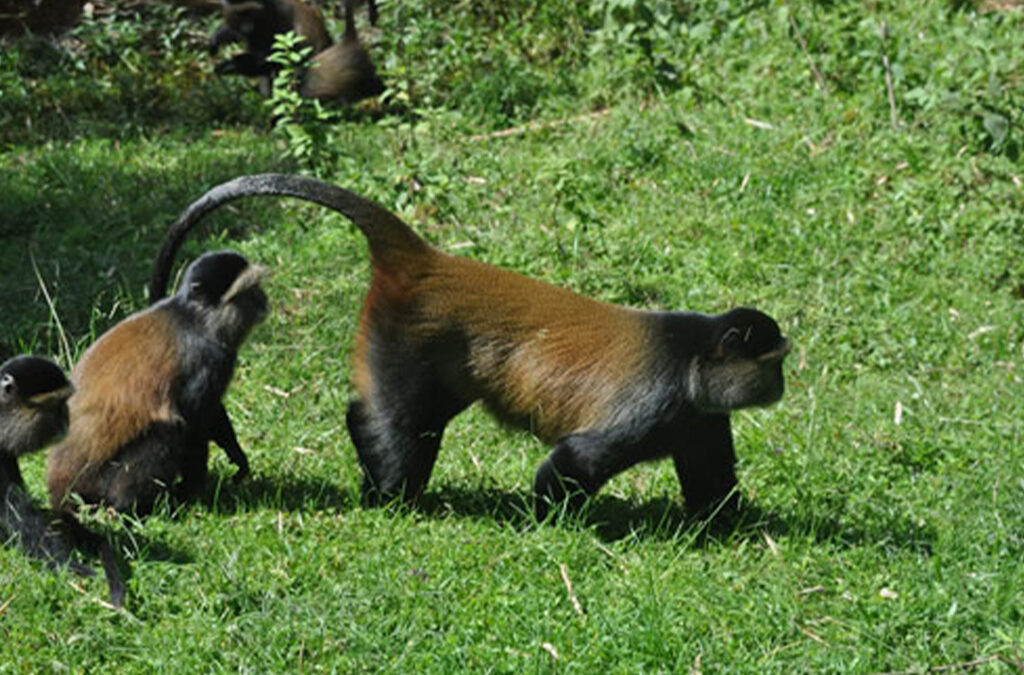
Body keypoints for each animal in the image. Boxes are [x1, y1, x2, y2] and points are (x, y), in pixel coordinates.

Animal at [46, 251, 268, 516]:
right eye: (249, 290)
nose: (264, 300)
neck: (194, 318)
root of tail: (59, 492)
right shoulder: (208, 360)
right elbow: (194, 425)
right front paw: (193, 491)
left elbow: (213, 413)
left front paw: (236, 455)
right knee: (169, 430)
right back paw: (130, 507)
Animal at [149, 174, 790, 519]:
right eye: (775, 363)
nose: (783, 385)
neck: (693, 354)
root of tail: (426, 261)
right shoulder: (653, 403)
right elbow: (571, 462)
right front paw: (547, 523)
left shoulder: (700, 416)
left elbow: (711, 479)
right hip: (405, 342)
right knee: (405, 431)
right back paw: (391, 497)